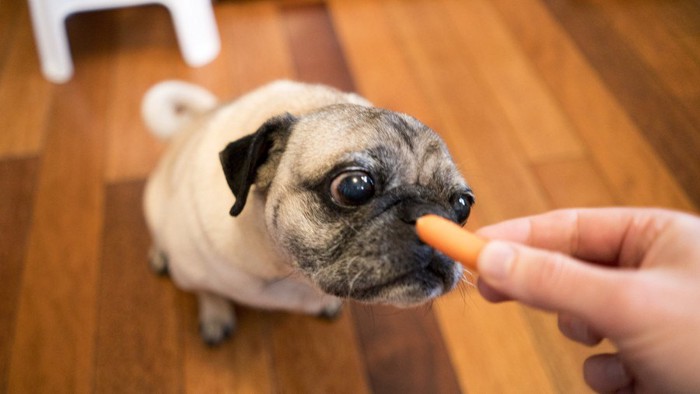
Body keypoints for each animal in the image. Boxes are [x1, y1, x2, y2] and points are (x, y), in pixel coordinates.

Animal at [142, 80, 474, 344]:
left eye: (463, 205)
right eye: (354, 186)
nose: (429, 213)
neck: (288, 272)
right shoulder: (191, 272)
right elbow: (208, 292)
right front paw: (215, 313)